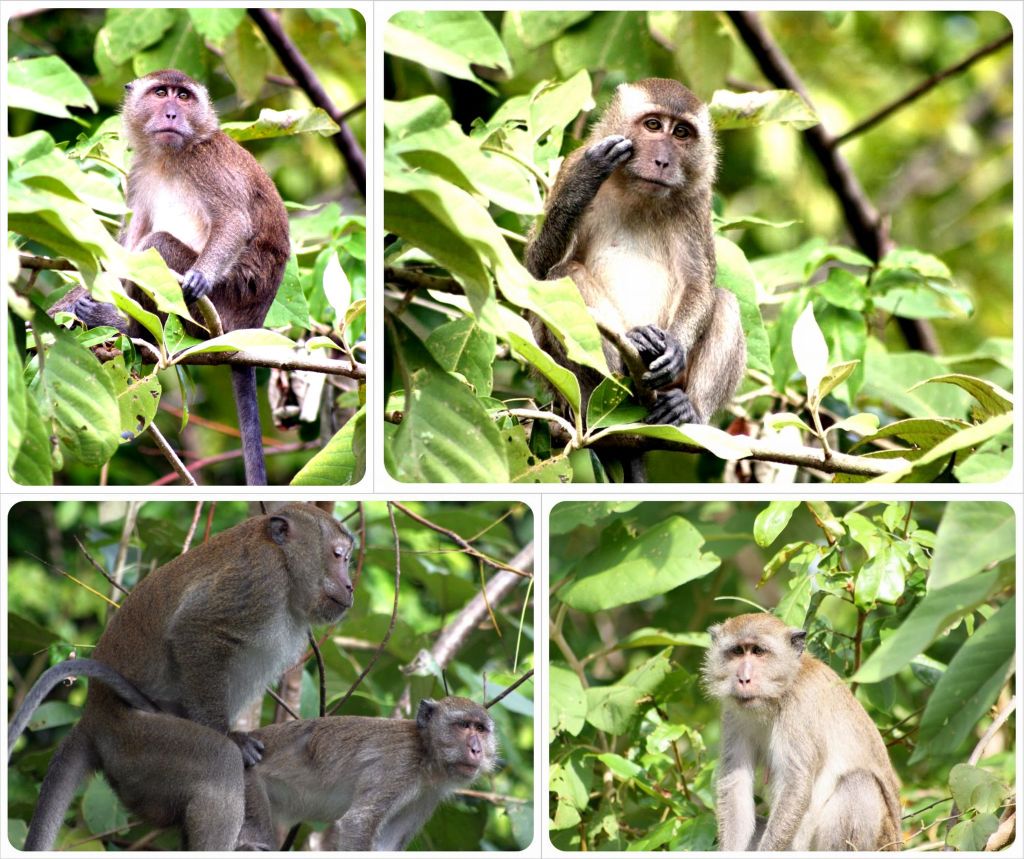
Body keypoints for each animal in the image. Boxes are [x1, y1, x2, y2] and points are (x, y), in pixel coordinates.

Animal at [8, 502, 354, 851]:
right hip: (133, 741)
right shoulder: (258, 581)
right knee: (218, 760)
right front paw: (231, 736)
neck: (283, 563)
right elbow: (194, 630)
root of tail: (93, 715)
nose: (350, 585)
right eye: (338, 555)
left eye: (348, 558)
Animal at [55, 69, 290, 485]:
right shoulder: (139, 174)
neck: (169, 158)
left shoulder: (206, 162)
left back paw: (133, 329)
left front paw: (201, 277)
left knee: (160, 247)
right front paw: (64, 303)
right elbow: (123, 249)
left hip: (217, 311)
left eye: (184, 97)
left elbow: (233, 221)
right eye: (161, 92)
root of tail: (249, 324)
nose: (170, 114)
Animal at [237, 696, 498, 851]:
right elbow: (358, 822)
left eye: (480, 729)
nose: (476, 749)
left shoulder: (427, 796)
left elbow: (386, 846)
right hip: (245, 779)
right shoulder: (398, 766)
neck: (426, 755)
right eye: (463, 725)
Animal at [524, 79, 745, 438]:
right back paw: (622, 363)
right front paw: (587, 176)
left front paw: (674, 347)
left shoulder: (697, 201)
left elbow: (698, 284)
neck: (635, 191)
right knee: (563, 274)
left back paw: (688, 408)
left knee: (724, 300)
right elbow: (533, 273)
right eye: (653, 125)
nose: (663, 161)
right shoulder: (569, 164)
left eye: (681, 133)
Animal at [702, 613, 902, 851]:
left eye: (758, 651)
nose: (743, 678)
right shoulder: (734, 714)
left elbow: (795, 783)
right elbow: (735, 783)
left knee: (858, 783)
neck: (777, 695)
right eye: (738, 651)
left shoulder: (800, 707)